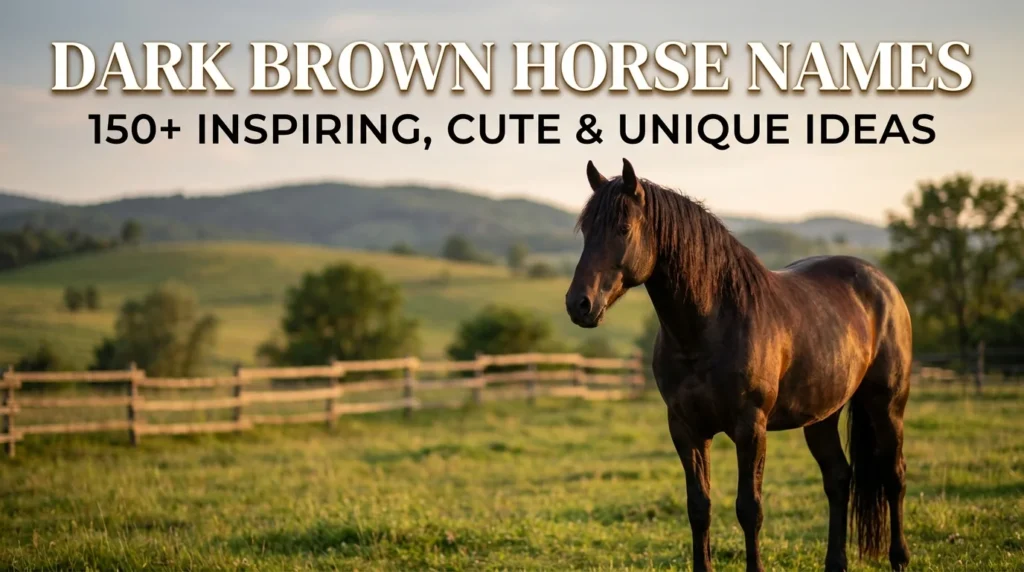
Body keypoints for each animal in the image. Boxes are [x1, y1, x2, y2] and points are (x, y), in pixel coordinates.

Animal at [565, 159, 912, 572]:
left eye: (623, 229)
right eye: (586, 230)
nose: (579, 304)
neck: (710, 325)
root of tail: (882, 284)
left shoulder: (750, 428)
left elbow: (750, 509)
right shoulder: (685, 428)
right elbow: (699, 507)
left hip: (886, 405)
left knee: (893, 475)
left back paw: (899, 558)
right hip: (822, 415)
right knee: (838, 479)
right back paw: (836, 563)